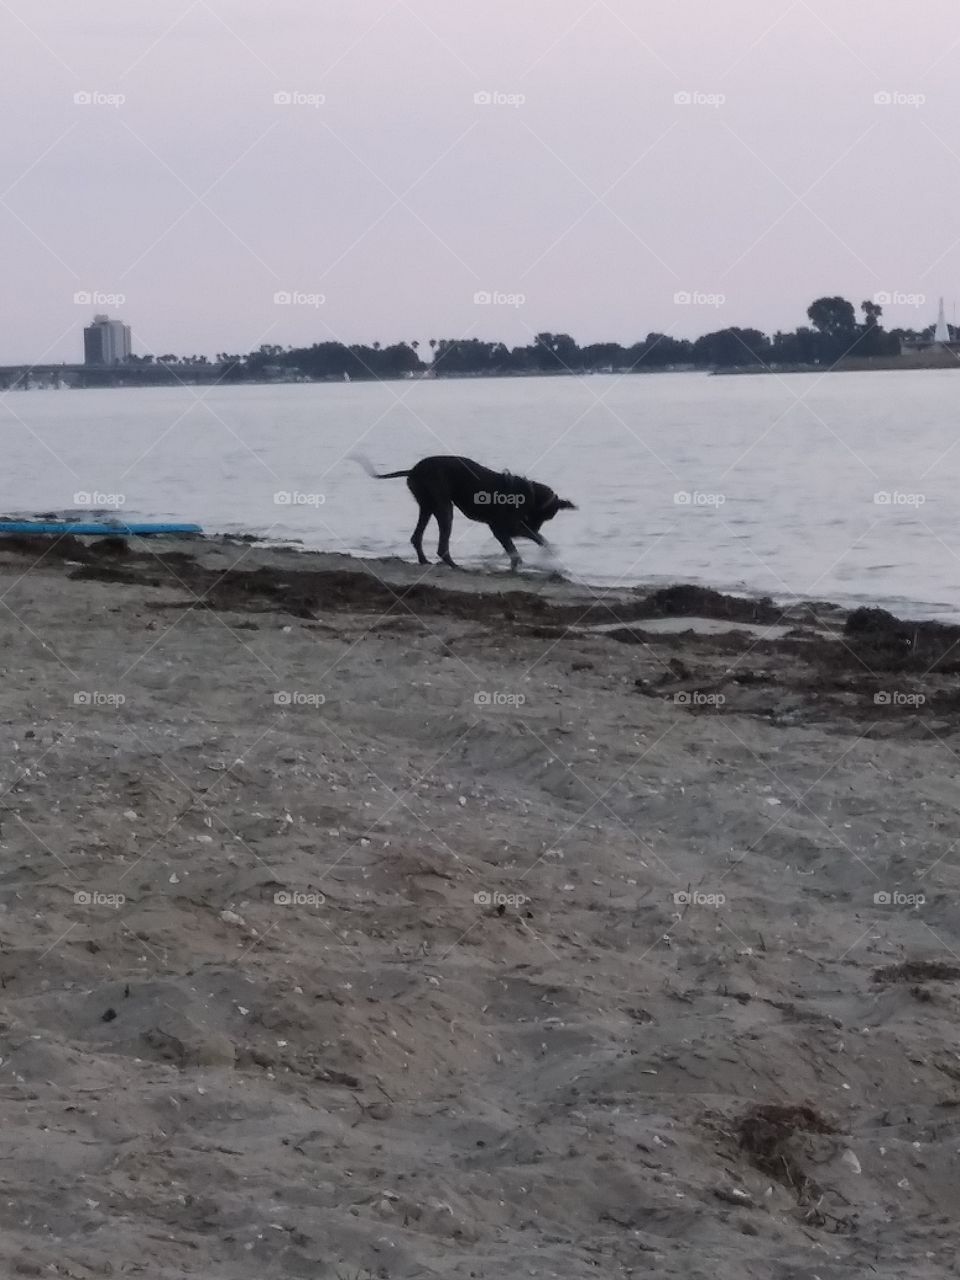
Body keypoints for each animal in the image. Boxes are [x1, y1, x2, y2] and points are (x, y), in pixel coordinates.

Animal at [358, 453, 576, 568]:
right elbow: (523, 545)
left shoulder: (508, 529)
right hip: (444, 508)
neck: (529, 493)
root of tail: (413, 470)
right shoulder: (503, 528)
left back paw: (424, 560)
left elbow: (530, 541)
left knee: (416, 537)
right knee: (441, 547)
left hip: (427, 506)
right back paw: (454, 565)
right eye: (543, 517)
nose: (536, 526)